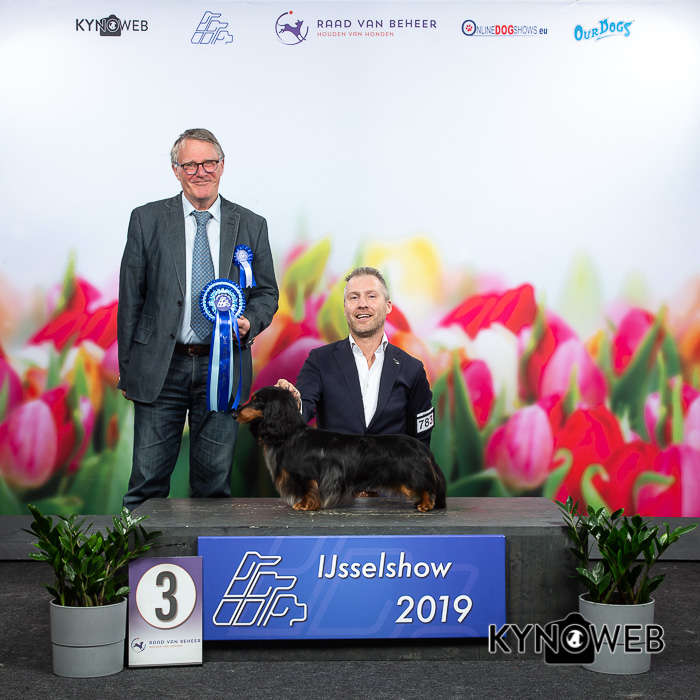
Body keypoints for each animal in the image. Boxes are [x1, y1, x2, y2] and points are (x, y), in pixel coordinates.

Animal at [234, 386, 447, 512]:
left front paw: (304, 505)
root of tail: (422, 448)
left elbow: (307, 490)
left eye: (256, 401)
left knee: (428, 487)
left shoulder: (304, 476)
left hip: (413, 473)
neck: (290, 435)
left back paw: (425, 504)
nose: (234, 414)